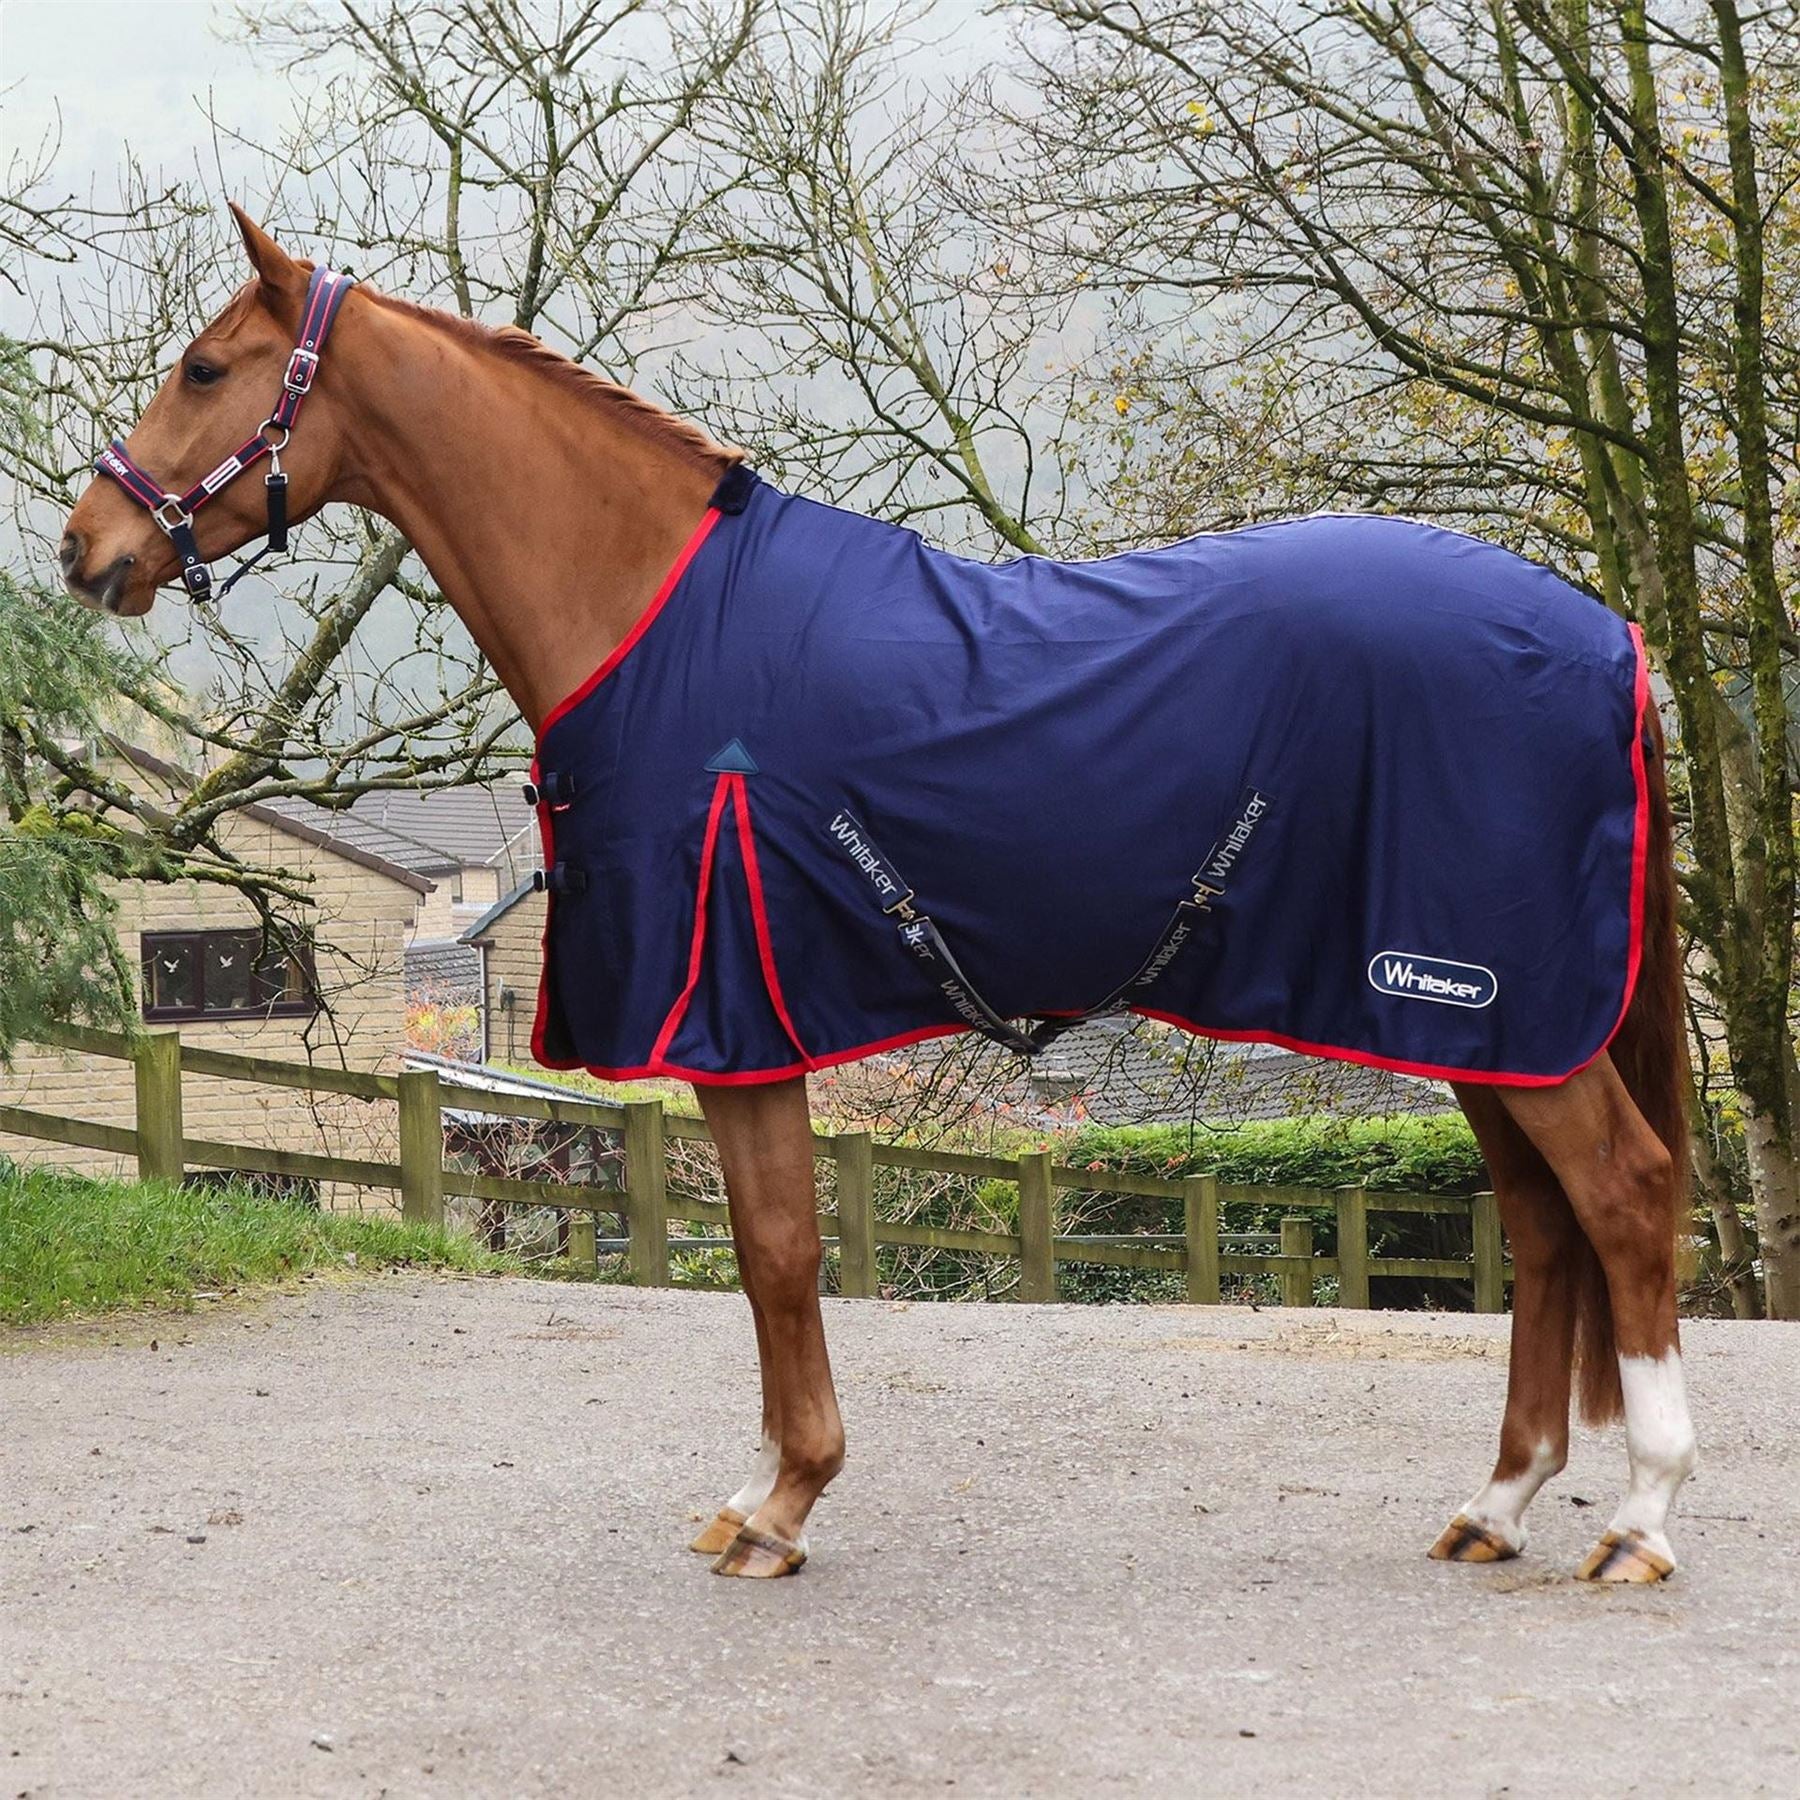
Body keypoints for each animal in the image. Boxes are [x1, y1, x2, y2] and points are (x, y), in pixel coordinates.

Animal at [60, 206, 1697, 1583]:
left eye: (207, 367)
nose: (88, 547)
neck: (654, 617)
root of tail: (1611, 640)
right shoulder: (746, 1028)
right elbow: (772, 1256)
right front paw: (768, 1492)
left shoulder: (734, 1020)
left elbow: (781, 1255)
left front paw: (781, 1507)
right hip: (1484, 1025)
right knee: (1544, 1227)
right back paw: (1499, 1504)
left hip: (1488, 1004)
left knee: (1620, 1198)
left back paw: (1641, 1519)